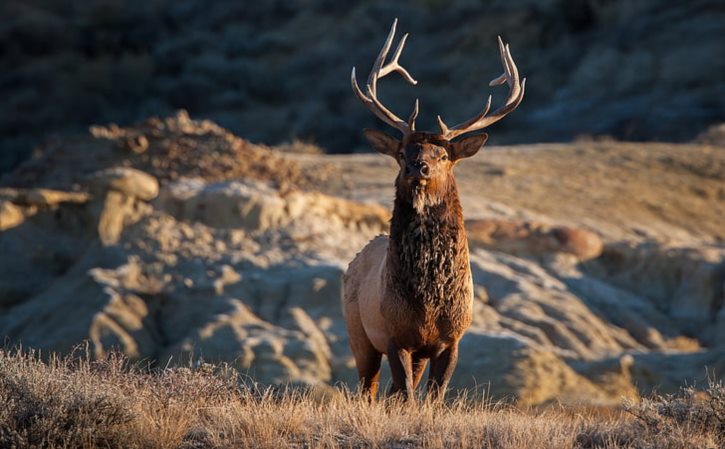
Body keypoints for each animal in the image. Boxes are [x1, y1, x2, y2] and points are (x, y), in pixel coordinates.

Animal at [342, 18, 524, 400]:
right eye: (402, 152)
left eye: (442, 155)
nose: (418, 166)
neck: (428, 302)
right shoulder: (394, 334)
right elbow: (408, 396)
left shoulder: (451, 338)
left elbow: (433, 397)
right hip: (359, 333)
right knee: (369, 388)